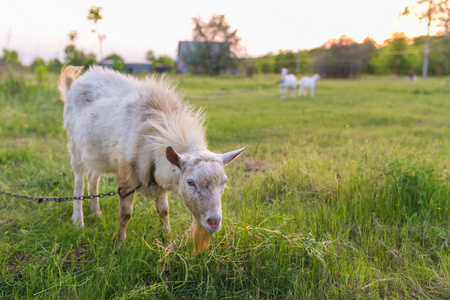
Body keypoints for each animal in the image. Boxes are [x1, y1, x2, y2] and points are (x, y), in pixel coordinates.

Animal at [59, 65, 246, 253]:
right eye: (190, 182)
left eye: (224, 182)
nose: (214, 222)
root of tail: (78, 81)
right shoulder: (127, 178)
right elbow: (125, 213)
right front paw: (119, 242)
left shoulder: (160, 177)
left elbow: (164, 210)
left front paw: (167, 236)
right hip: (75, 147)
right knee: (79, 183)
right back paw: (78, 220)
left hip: (96, 153)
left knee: (92, 177)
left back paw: (96, 213)